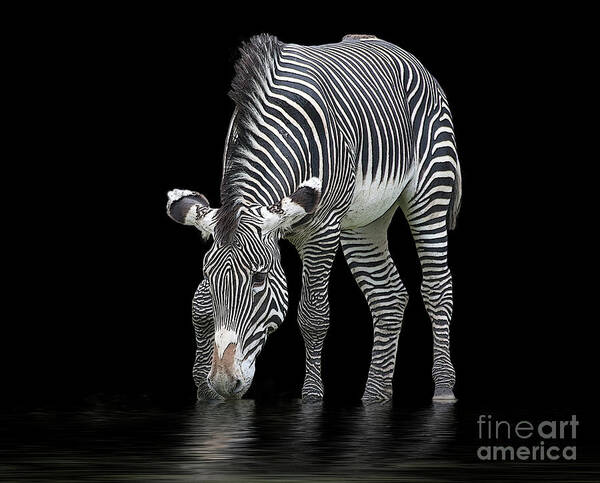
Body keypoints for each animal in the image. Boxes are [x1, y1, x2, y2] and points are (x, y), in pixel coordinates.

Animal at [166, 34, 462, 402]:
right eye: (208, 274)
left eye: (259, 279)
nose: (223, 382)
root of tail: (391, 47)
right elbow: (200, 306)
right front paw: (203, 390)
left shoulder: (321, 231)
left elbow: (312, 315)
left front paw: (311, 395)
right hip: (364, 220)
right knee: (388, 297)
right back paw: (375, 396)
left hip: (430, 191)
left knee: (437, 287)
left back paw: (444, 387)